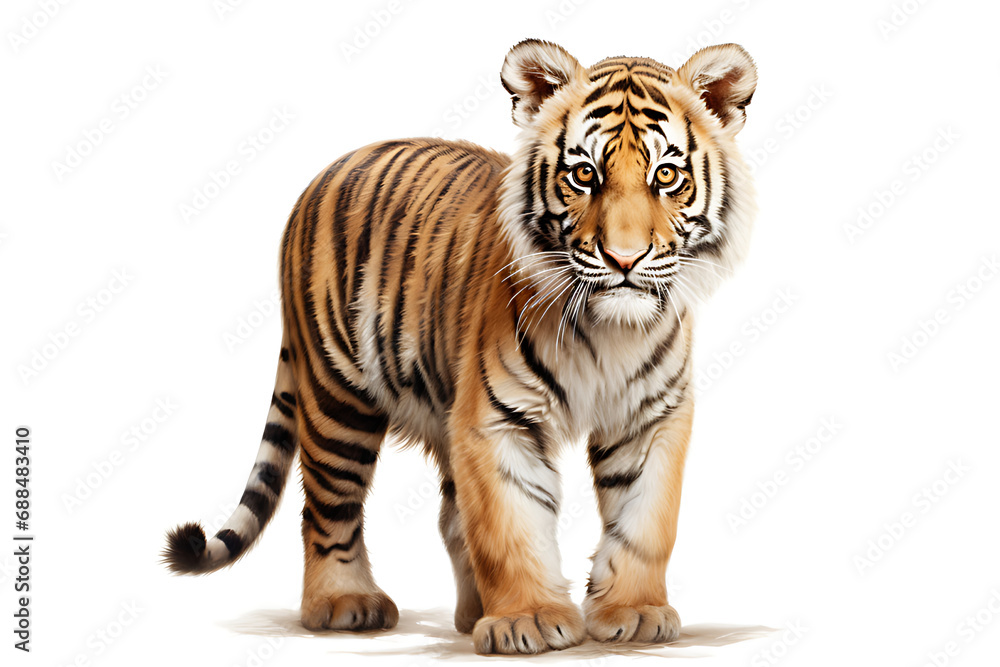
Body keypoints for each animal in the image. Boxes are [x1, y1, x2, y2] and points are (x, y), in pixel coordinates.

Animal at [164, 39, 757, 655]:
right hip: (337, 396)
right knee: (327, 508)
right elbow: (511, 524)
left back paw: (470, 614)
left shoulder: (651, 417)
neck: (610, 329)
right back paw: (344, 602)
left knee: (451, 518)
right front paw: (528, 620)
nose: (624, 258)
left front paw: (634, 612)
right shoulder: (497, 420)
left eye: (666, 175)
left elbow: (645, 521)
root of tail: (323, 174)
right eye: (583, 174)